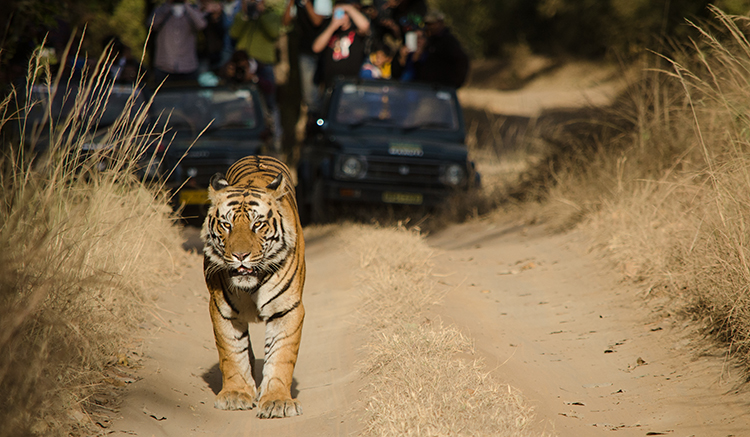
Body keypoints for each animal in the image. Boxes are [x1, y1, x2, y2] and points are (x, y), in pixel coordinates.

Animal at [201, 156, 306, 418]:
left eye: (257, 224)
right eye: (226, 225)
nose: (240, 256)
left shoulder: (287, 309)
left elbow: (281, 355)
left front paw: (277, 401)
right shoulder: (222, 310)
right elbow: (232, 352)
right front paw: (236, 394)